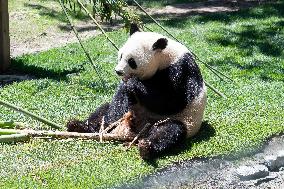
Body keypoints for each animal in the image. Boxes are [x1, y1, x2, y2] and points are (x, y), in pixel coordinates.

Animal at [67, 25, 207, 159]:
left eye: (131, 61)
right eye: (121, 55)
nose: (118, 71)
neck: (164, 56)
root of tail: (136, 131)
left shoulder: (179, 70)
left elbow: (172, 101)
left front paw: (132, 83)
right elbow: (119, 102)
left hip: (179, 120)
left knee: (169, 131)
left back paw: (147, 148)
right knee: (101, 111)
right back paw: (80, 126)